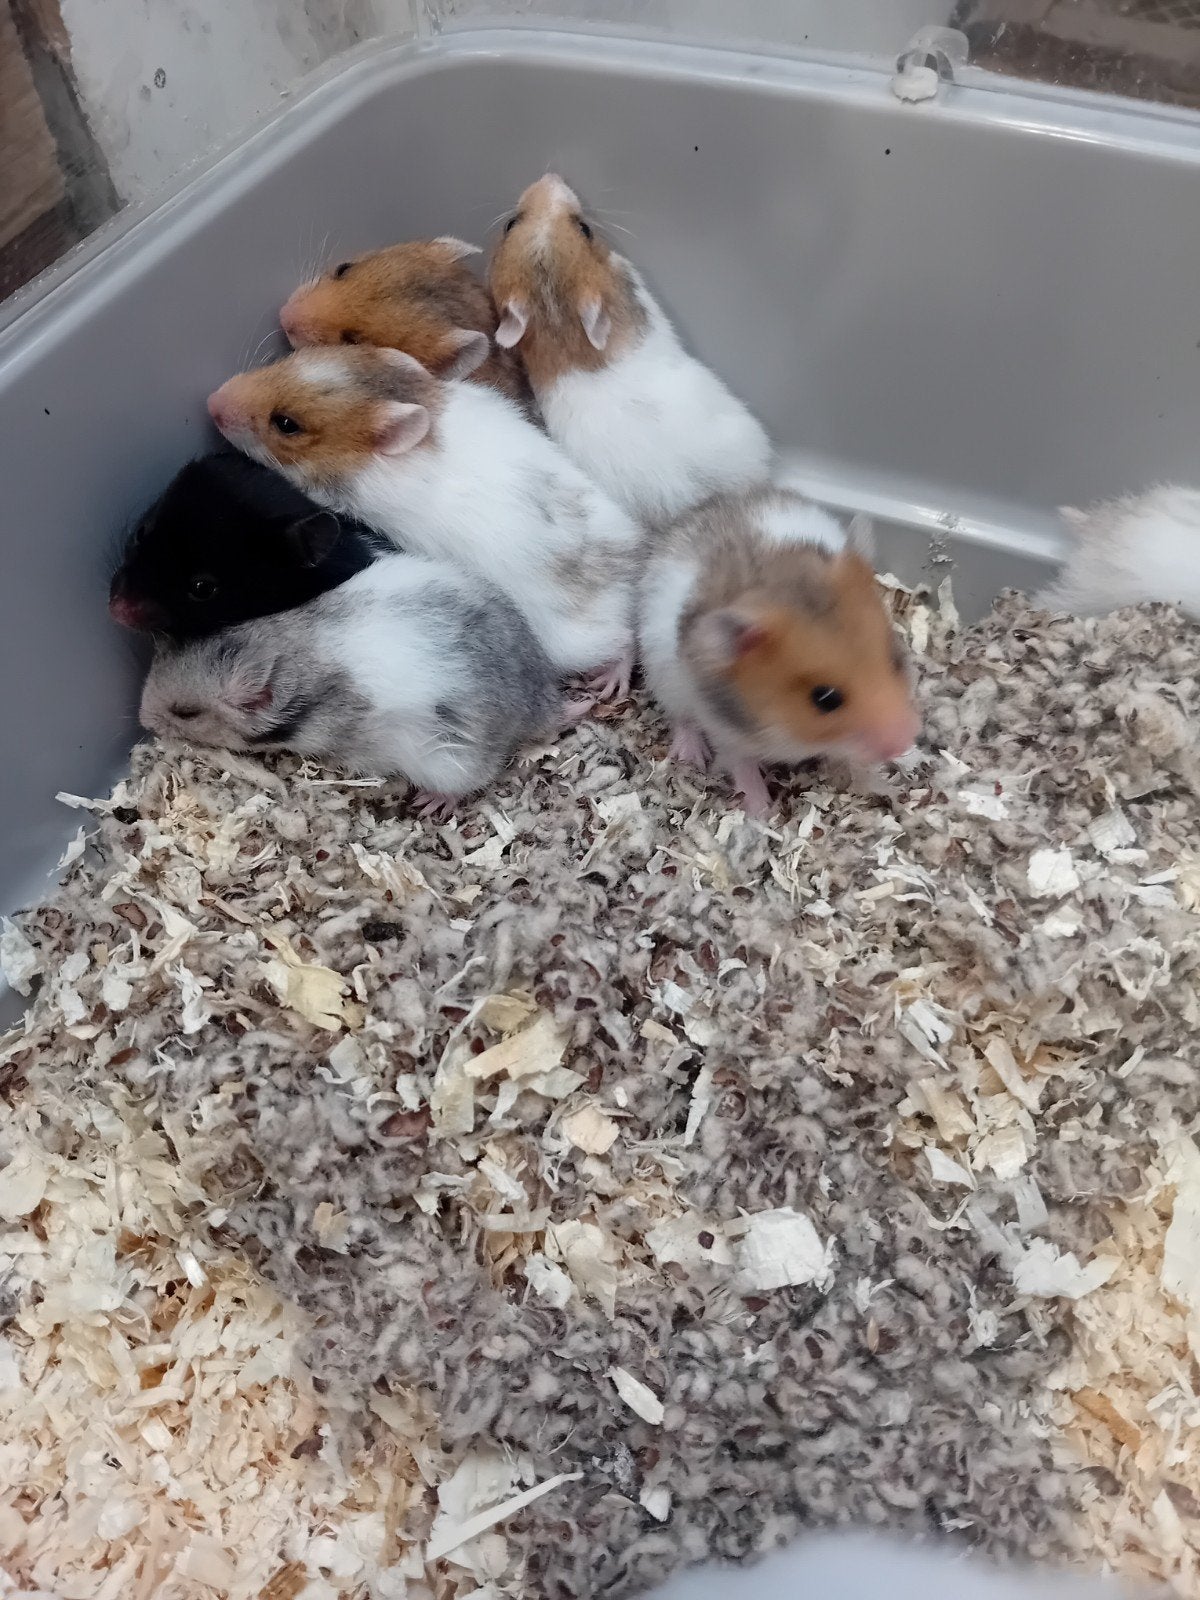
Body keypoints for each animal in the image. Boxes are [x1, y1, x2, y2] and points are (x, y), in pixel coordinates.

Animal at [207, 345, 639, 694]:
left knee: (623, 641)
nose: (211, 401)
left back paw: (610, 684)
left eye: (286, 424)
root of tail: (627, 575)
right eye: (289, 359)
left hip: (573, 642)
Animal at [638, 487, 920, 816]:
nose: (904, 742)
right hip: (665, 679)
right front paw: (762, 812)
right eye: (824, 699)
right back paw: (690, 756)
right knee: (682, 719)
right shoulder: (726, 733)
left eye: (895, 659)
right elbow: (742, 767)